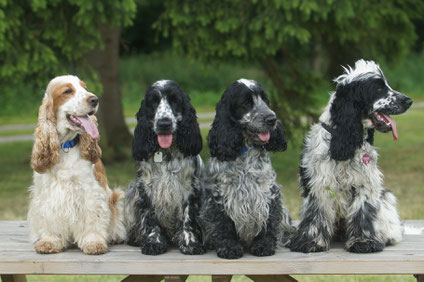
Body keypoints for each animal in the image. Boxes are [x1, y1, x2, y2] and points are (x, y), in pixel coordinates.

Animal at [27, 75, 126, 256]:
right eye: (67, 91)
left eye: (85, 88)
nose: (94, 99)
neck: (65, 146)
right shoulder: (46, 193)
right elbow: (48, 218)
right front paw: (49, 241)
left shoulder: (90, 191)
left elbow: (93, 219)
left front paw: (94, 243)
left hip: (114, 197)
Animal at [124, 79, 205, 256]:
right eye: (153, 101)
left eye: (175, 100)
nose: (164, 123)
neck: (166, 153)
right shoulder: (146, 188)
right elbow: (150, 217)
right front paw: (153, 242)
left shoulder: (190, 187)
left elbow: (188, 216)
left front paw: (190, 243)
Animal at [200, 78, 294, 258]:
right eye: (246, 103)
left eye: (265, 100)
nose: (272, 119)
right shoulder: (219, 195)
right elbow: (224, 225)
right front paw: (229, 247)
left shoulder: (268, 192)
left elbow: (268, 222)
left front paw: (264, 245)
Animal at [290, 59, 412, 253]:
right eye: (378, 88)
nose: (409, 101)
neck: (344, 138)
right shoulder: (319, 184)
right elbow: (316, 214)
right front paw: (311, 241)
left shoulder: (364, 183)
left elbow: (363, 212)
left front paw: (364, 241)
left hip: (386, 197)